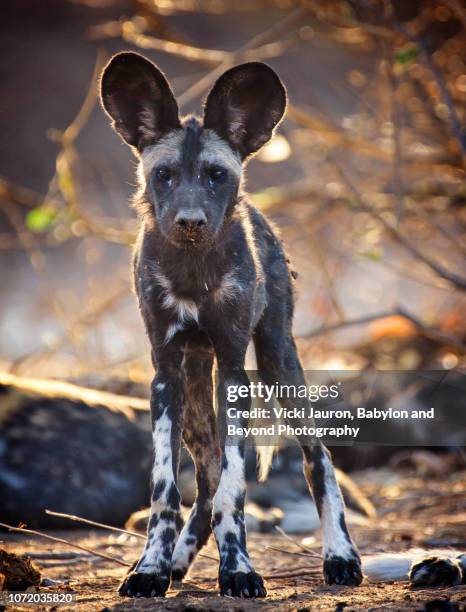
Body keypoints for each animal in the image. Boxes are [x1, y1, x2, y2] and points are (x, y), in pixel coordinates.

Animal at [100, 52, 364, 596]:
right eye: (165, 174)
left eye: (215, 175)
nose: (189, 221)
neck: (193, 270)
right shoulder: (165, 373)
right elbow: (165, 491)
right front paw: (151, 569)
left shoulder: (234, 368)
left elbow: (234, 489)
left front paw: (239, 569)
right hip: (195, 393)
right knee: (203, 481)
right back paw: (177, 563)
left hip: (279, 363)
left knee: (317, 458)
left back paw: (340, 557)